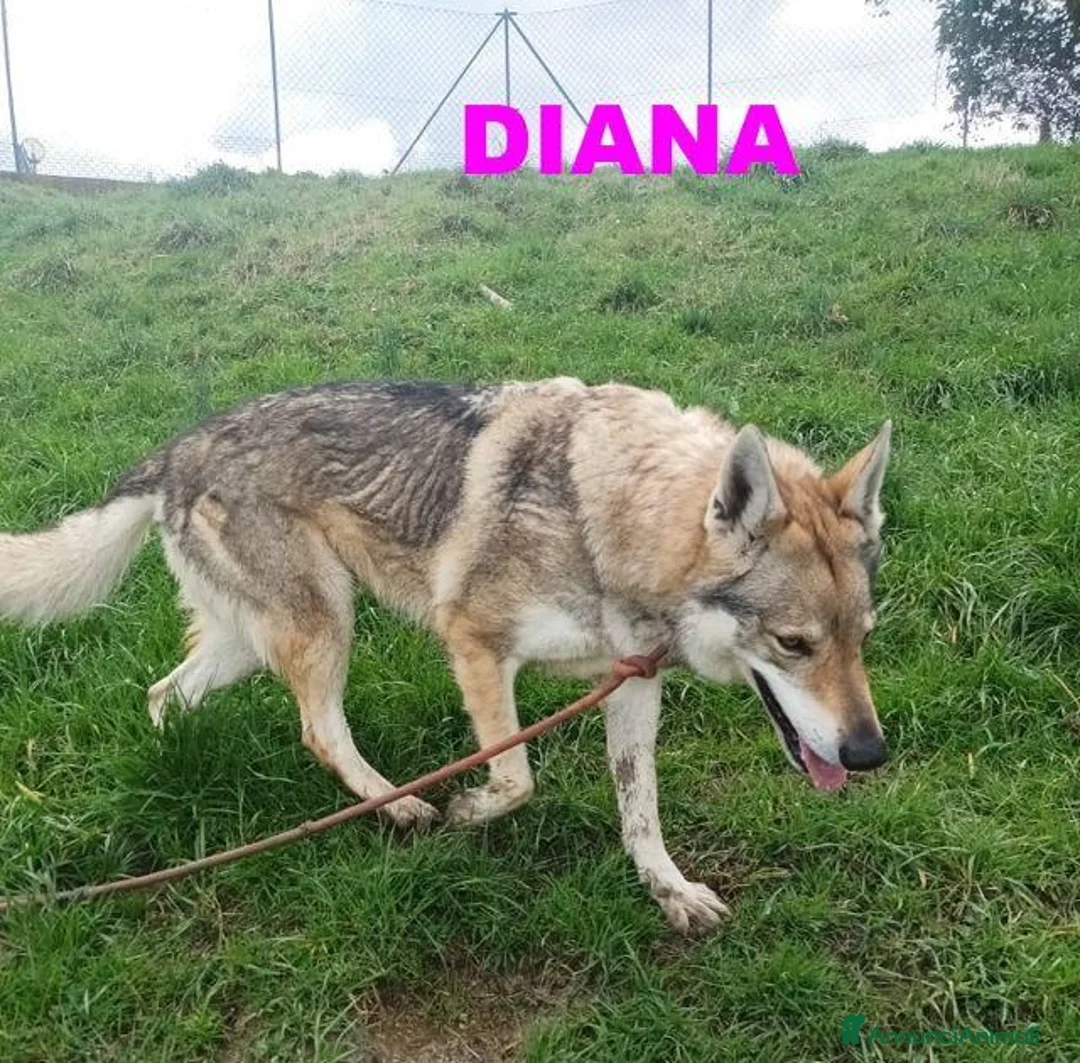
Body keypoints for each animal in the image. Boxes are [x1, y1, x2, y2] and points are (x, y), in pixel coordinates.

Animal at [0, 378, 890, 933]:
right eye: (793, 643)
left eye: (863, 637)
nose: (871, 754)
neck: (606, 514)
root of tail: (178, 446)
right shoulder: (474, 643)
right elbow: (516, 778)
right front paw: (465, 810)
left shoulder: (630, 682)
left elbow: (640, 808)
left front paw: (667, 891)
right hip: (326, 624)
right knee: (319, 730)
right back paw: (396, 806)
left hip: (249, 642)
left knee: (164, 694)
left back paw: (174, 769)